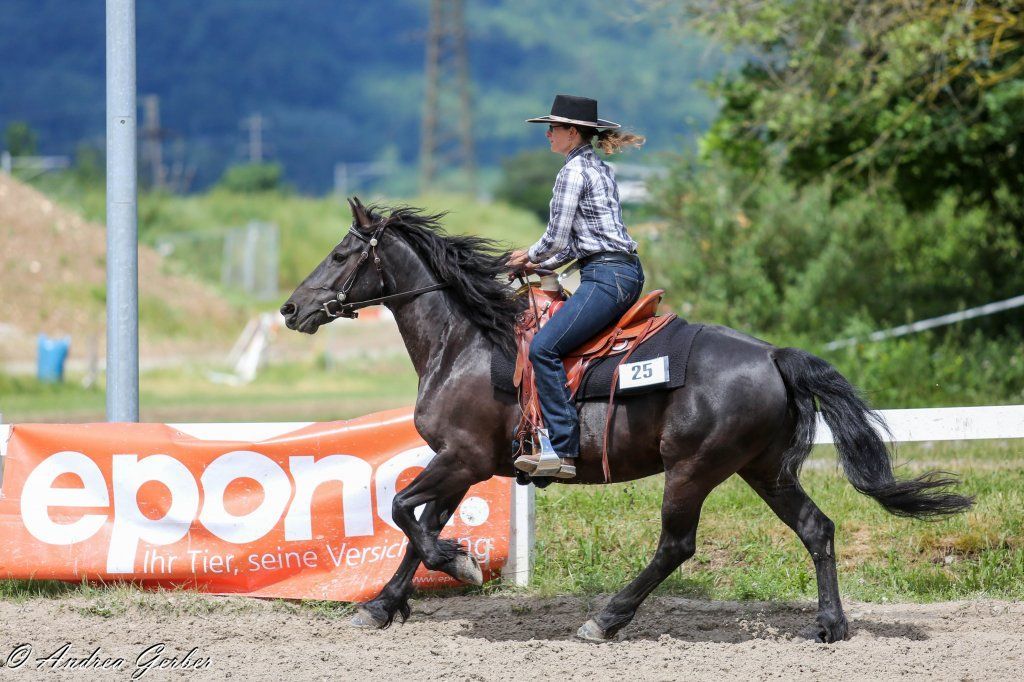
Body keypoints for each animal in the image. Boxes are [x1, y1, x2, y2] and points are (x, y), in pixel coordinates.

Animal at [279, 198, 972, 643]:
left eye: (340, 253)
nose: (290, 309)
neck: (466, 343)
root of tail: (774, 355)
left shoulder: (463, 458)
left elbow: (404, 510)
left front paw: (461, 566)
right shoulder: (463, 465)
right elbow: (418, 526)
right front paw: (383, 605)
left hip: (693, 469)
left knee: (676, 545)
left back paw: (606, 619)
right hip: (764, 469)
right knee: (816, 528)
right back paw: (830, 625)